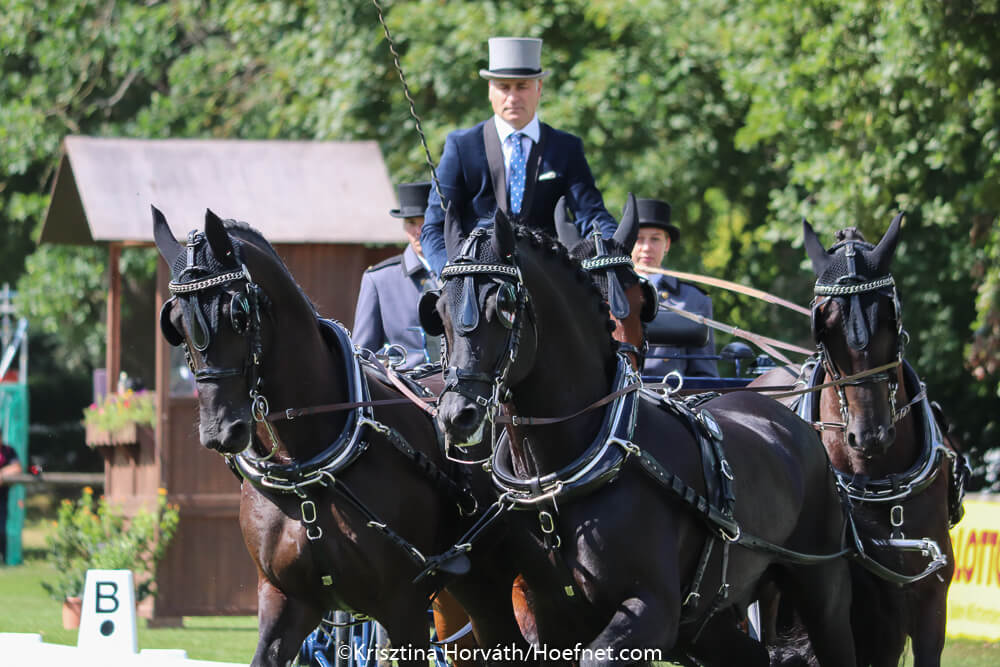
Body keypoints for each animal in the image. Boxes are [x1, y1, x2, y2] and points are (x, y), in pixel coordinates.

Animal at [152, 209, 528, 667]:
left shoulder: (403, 606)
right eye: (174, 323)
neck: (306, 465)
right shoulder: (285, 601)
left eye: (238, 312)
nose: (220, 430)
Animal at [422, 209, 860, 667]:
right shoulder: (550, 613)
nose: (457, 415)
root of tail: (787, 417)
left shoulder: (653, 610)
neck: (565, 476)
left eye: (504, 305)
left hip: (822, 588)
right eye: (438, 309)